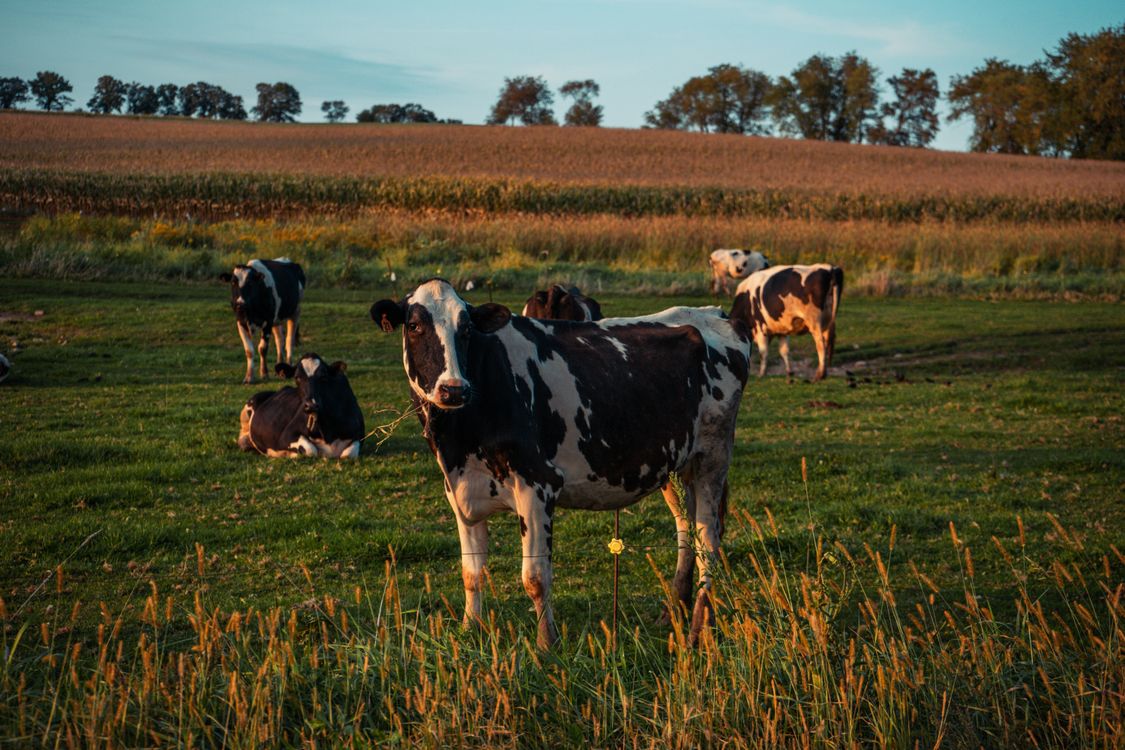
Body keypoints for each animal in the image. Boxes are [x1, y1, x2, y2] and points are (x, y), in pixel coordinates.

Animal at [370, 279, 750, 648]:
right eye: (415, 326)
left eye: (466, 329)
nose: (453, 389)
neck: (458, 437)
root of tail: (712, 313)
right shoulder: (460, 491)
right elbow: (471, 573)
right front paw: (470, 630)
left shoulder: (537, 485)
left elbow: (535, 578)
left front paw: (546, 646)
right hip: (674, 463)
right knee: (686, 531)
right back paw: (674, 611)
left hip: (713, 455)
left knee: (708, 539)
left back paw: (699, 628)